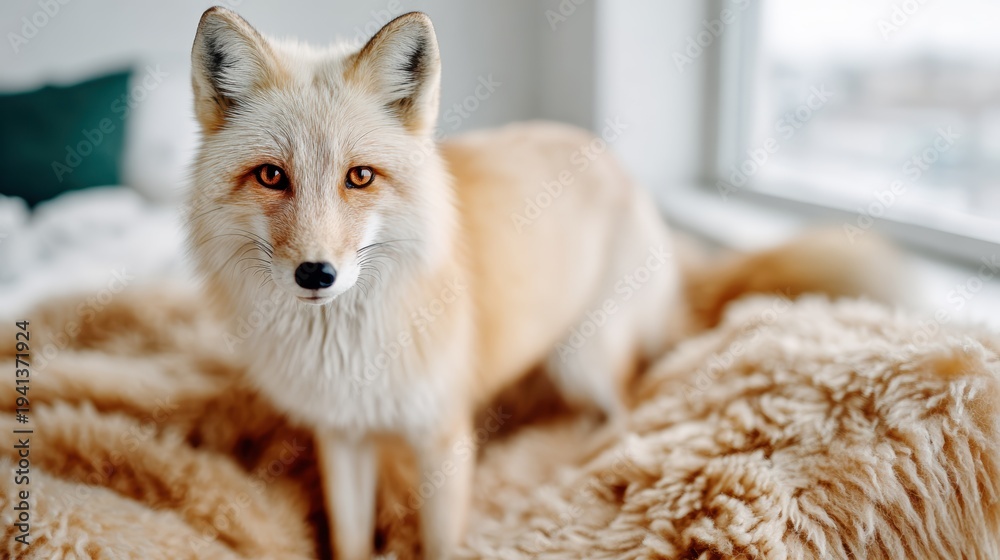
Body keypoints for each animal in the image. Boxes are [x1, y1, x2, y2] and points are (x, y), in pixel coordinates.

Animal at [186, 7, 896, 559]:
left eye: (359, 177)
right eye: (272, 176)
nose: (316, 273)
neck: (344, 354)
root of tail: (615, 165)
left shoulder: (441, 437)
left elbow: (443, 541)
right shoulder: (341, 437)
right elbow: (351, 541)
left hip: (582, 355)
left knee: (626, 406)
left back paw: (571, 467)